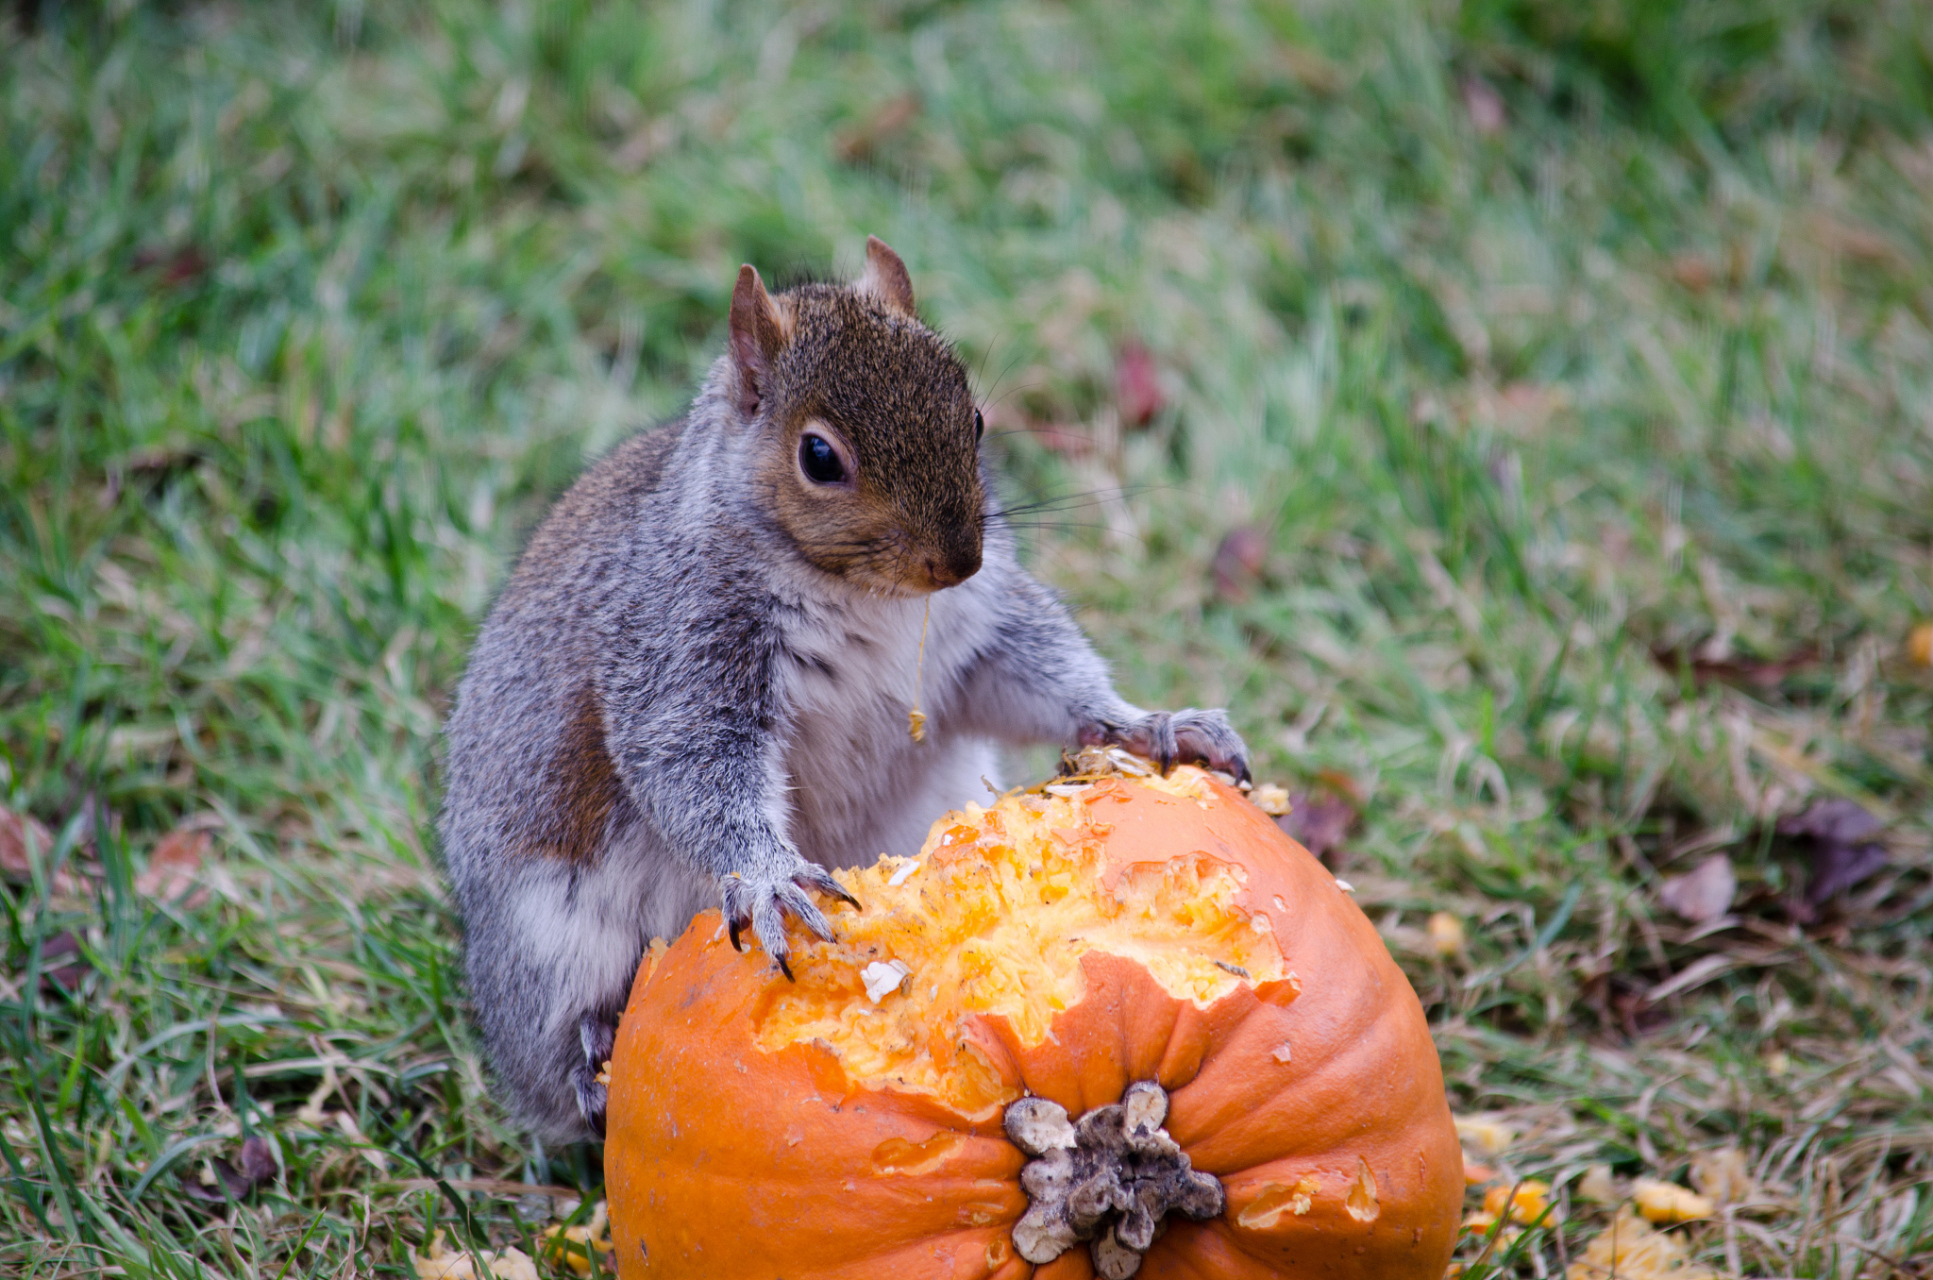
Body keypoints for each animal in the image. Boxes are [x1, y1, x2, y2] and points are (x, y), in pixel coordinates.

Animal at [438, 237, 1244, 1144]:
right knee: (547, 1066)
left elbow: (1036, 678)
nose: (957, 560)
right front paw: (771, 877)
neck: (863, 593)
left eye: (972, 419)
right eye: (818, 457)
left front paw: (1149, 724)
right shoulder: (680, 640)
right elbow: (690, 761)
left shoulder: (977, 633)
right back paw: (591, 1070)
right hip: (546, 943)